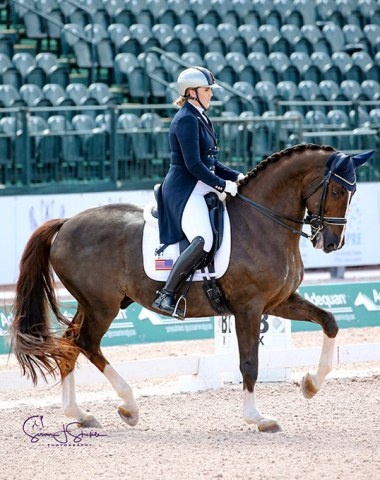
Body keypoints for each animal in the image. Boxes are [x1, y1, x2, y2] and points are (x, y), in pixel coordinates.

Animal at [8, 144, 372, 434]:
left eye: (354, 193)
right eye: (337, 192)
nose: (332, 243)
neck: (263, 222)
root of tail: (66, 223)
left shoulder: (278, 302)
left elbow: (329, 322)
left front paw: (310, 384)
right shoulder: (249, 307)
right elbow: (249, 362)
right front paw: (257, 418)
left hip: (95, 303)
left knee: (70, 343)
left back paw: (80, 414)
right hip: (102, 305)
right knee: (86, 343)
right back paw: (129, 406)